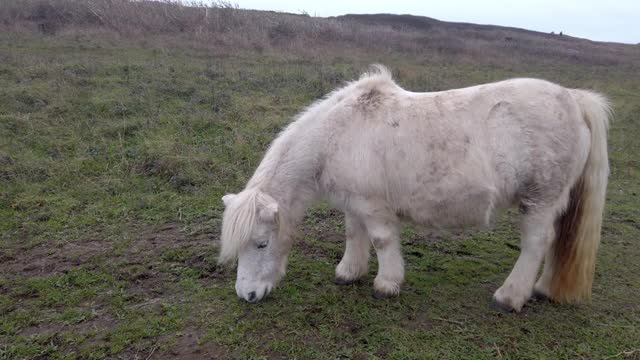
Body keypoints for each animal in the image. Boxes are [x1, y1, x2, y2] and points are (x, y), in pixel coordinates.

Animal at [219, 65, 608, 312]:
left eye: (261, 243)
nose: (246, 294)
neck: (338, 133)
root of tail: (574, 100)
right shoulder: (354, 203)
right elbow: (353, 234)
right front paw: (349, 272)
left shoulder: (373, 206)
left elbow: (381, 241)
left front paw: (386, 284)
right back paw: (542, 289)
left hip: (540, 200)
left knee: (536, 243)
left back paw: (509, 297)